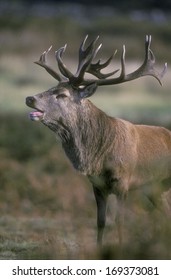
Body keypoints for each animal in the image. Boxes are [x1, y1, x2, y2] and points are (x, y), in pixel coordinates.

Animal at [25, 35, 168, 247]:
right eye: (50, 87)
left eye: (62, 94)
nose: (29, 98)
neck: (99, 156)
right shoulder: (97, 185)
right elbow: (100, 220)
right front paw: (99, 248)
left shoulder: (123, 182)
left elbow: (119, 220)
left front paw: (120, 248)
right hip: (155, 190)